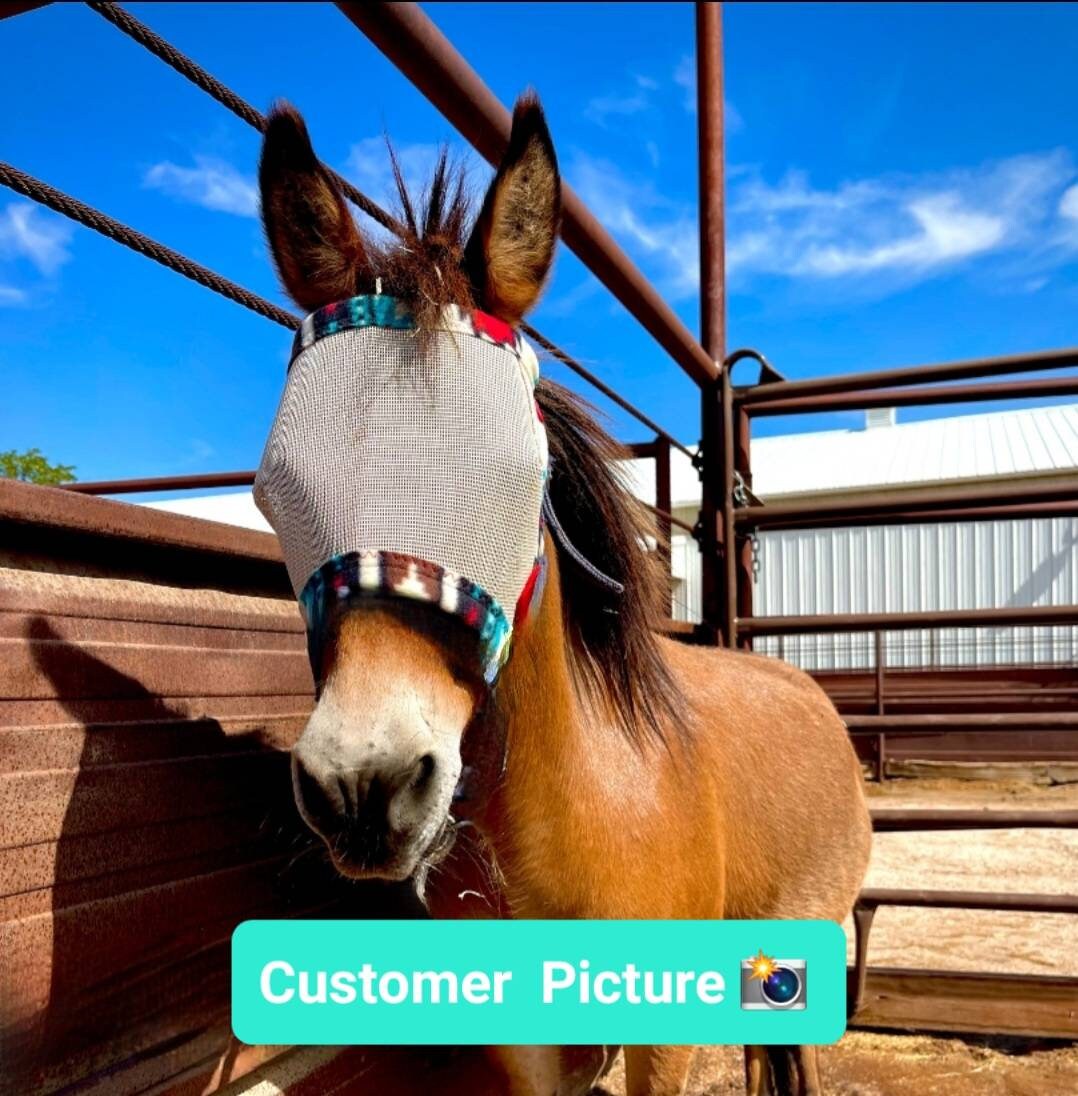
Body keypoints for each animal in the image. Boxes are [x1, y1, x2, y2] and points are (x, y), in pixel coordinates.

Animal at [255, 92, 872, 1096]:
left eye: (521, 475)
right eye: (276, 491)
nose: (361, 785)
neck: (585, 806)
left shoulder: (662, 1038)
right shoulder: (528, 1045)